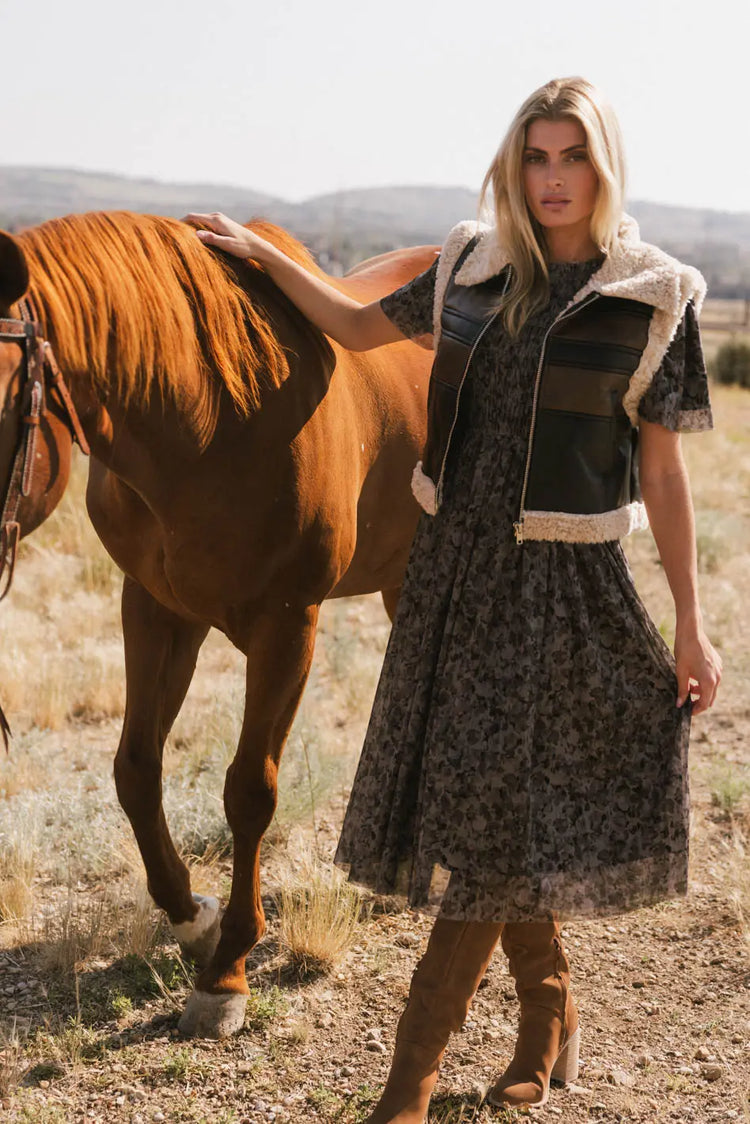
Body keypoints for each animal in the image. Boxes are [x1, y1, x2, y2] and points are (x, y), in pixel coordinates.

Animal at [0, 211, 434, 1034]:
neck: (209, 419)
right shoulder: (155, 607)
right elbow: (136, 769)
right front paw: (190, 917)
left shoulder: (288, 627)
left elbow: (249, 792)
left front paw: (226, 973)